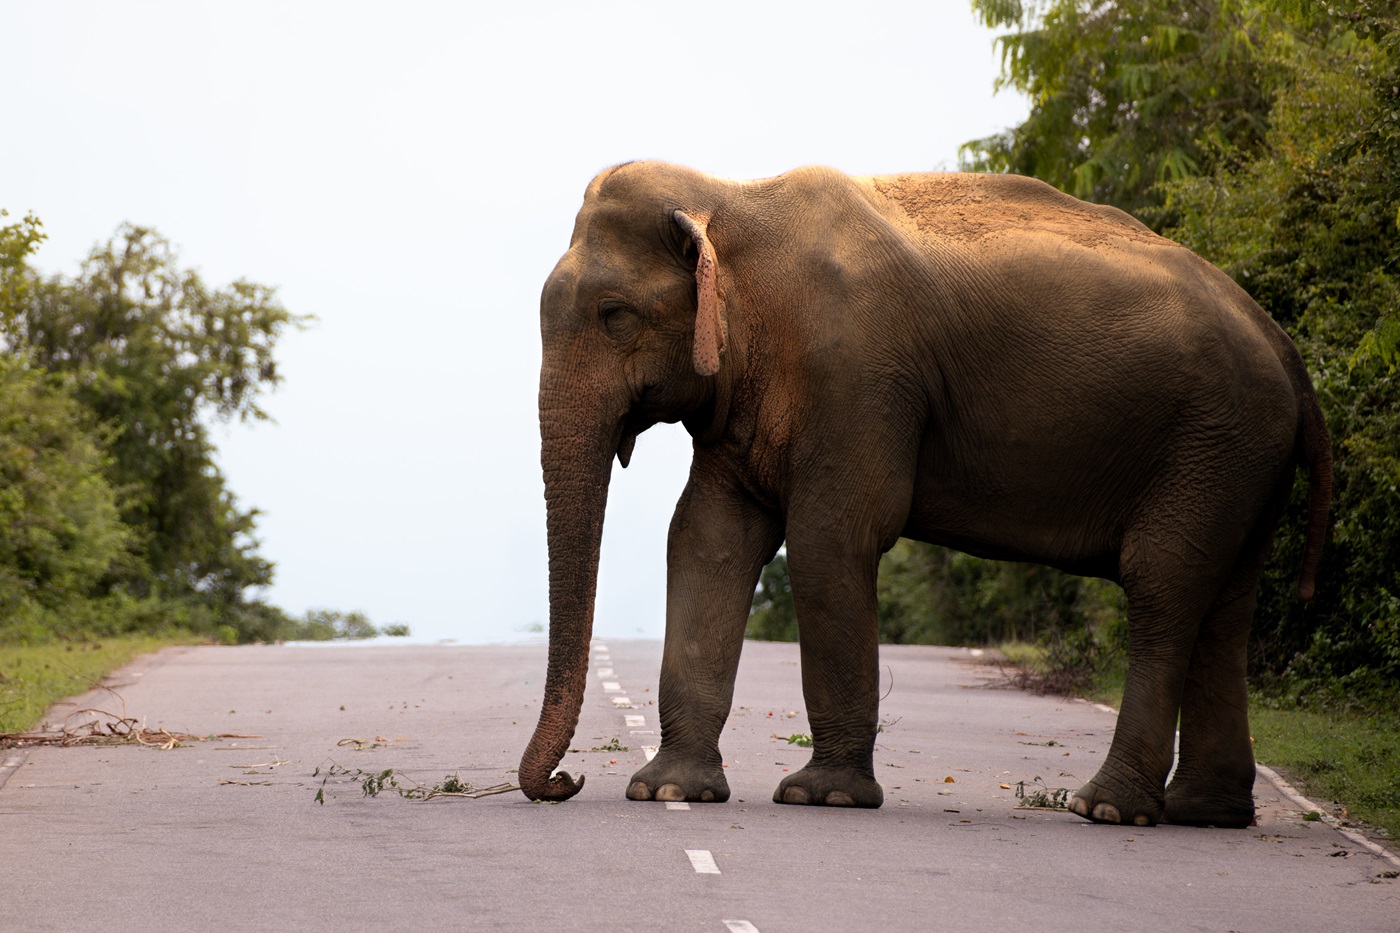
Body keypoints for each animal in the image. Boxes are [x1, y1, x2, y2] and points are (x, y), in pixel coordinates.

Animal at [518, 161, 1332, 828]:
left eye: (615, 315)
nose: (566, 781)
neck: (729, 199)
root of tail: (1287, 349)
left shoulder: (855, 373)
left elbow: (830, 538)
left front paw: (824, 796)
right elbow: (706, 538)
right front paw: (666, 790)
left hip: (1212, 442)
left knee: (1163, 585)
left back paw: (1106, 808)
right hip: (1236, 458)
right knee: (1224, 605)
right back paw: (1207, 813)